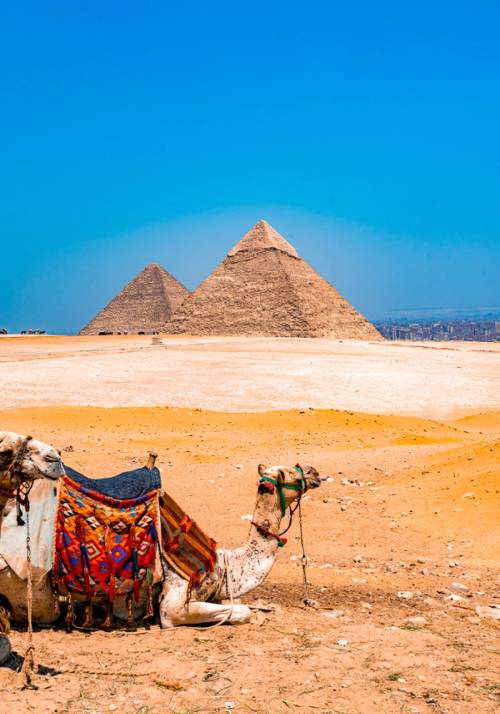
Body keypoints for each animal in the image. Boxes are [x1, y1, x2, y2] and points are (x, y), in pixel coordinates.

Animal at [0, 461, 321, 630]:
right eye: (291, 473)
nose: (315, 472)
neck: (225, 564)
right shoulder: (174, 600)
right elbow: (240, 611)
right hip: (27, 580)